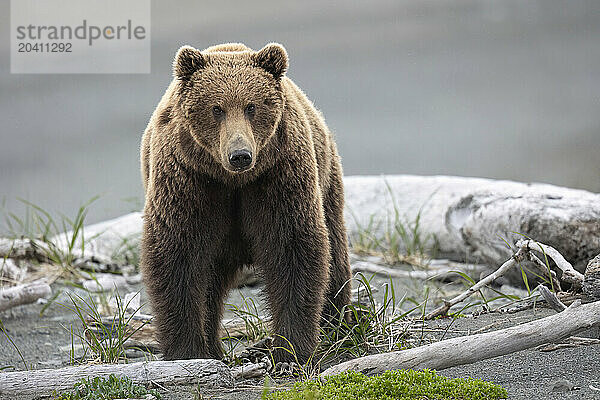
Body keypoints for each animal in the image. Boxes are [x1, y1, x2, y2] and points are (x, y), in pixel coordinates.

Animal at [141, 43, 352, 362]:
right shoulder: (190, 180)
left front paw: (290, 350)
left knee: (335, 257)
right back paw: (213, 348)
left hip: (326, 184)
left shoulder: (277, 175)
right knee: (210, 287)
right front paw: (187, 351)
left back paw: (338, 326)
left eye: (251, 106)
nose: (240, 155)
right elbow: (178, 255)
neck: (233, 181)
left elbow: (293, 249)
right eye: (216, 108)